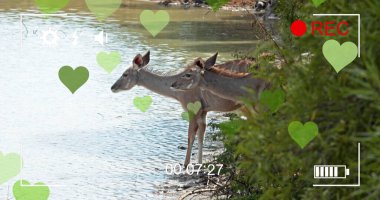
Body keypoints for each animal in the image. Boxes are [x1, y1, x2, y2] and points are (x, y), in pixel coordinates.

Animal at [110, 50, 254, 166]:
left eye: (125, 74)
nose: (113, 87)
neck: (177, 92)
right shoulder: (203, 112)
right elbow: (201, 135)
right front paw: (200, 164)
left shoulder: (192, 109)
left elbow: (190, 136)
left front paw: (185, 165)